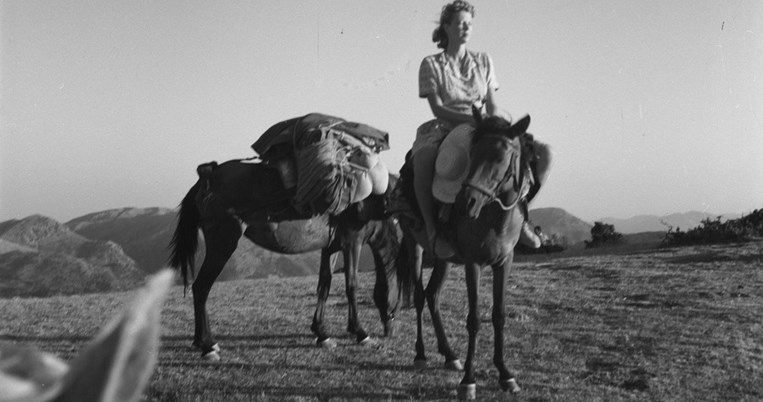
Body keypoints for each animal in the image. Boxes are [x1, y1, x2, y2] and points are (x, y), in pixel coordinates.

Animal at [169, 159, 402, 360]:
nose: (390, 330)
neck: (370, 200)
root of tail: (208, 174)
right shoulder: (352, 244)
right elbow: (351, 286)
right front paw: (360, 332)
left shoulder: (331, 247)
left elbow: (324, 285)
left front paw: (321, 333)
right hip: (223, 243)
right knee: (201, 287)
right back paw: (207, 345)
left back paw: (201, 341)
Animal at [396, 110, 536, 398]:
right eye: (471, 154)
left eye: (500, 157)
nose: (465, 202)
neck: (493, 218)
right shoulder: (474, 263)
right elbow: (474, 319)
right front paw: (469, 382)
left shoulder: (504, 262)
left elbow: (499, 315)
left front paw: (505, 374)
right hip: (414, 245)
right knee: (419, 296)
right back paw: (421, 355)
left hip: (444, 258)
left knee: (433, 295)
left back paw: (449, 355)